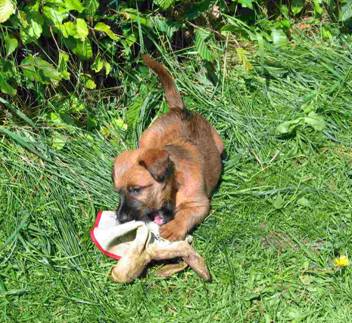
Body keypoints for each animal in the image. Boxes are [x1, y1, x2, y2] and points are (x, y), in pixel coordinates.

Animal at [113, 55, 223, 240]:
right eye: (118, 192)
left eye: (136, 189)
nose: (120, 219)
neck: (175, 184)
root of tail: (179, 109)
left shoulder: (199, 204)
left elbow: (185, 215)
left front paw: (173, 228)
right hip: (146, 138)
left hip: (220, 144)